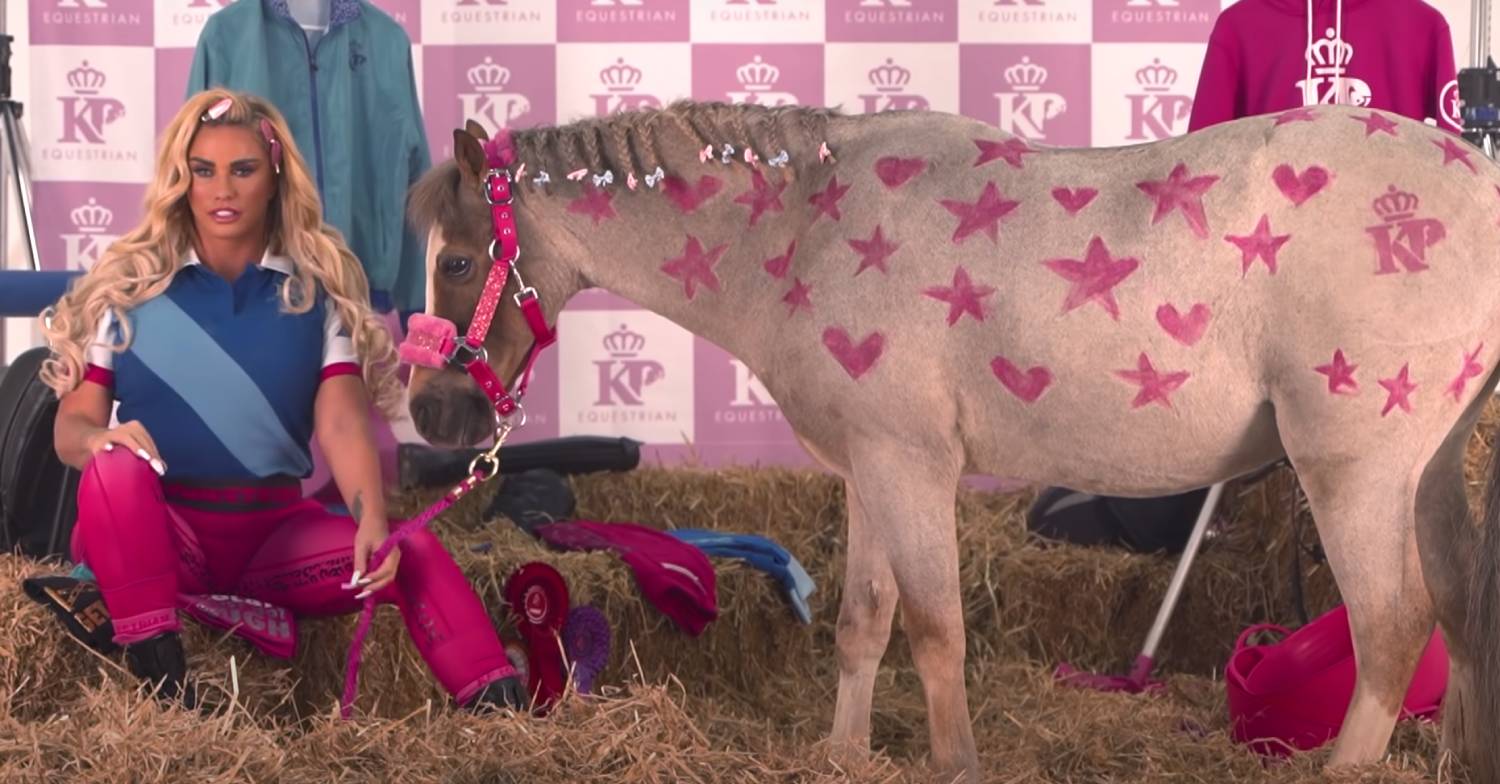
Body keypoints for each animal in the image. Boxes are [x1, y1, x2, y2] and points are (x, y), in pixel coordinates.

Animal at [401, 99, 1500, 782]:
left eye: (456, 260)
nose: (429, 414)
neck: (803, 228)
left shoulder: (911, 464)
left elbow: (933, 627)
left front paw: (953, 759)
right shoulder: (869, 468)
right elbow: (865, 619)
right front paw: (843, 755)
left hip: (1355, 469)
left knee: (1392, 624)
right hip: (1429, 470)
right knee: (1457, 602)